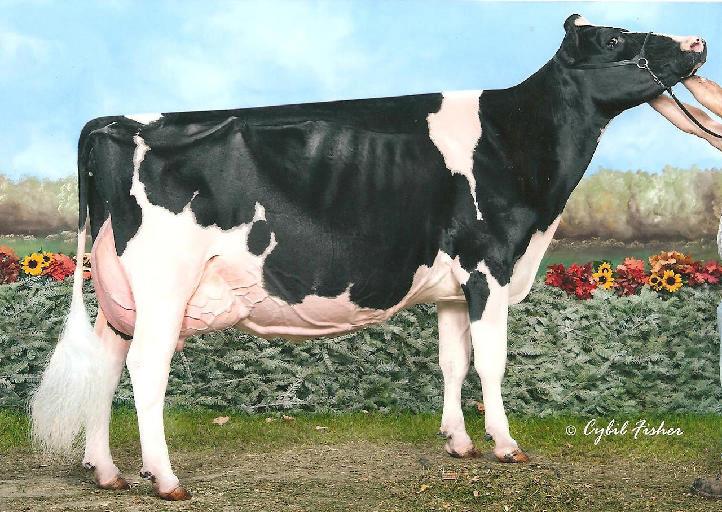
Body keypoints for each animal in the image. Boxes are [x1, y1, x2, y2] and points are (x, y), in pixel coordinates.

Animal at [30, 14, 706, 501]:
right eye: (616, 38)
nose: (698, 41)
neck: (516, 142)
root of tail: (117, 122)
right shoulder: (489, 266)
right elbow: (491, 365)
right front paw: (505, 444)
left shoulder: (453, 287)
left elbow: (454, 363)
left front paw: (458, 442)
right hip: (165, 283)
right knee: (145, 368)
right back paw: (165, 479)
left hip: (119, 292)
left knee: (105, 361)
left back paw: (106, 470)